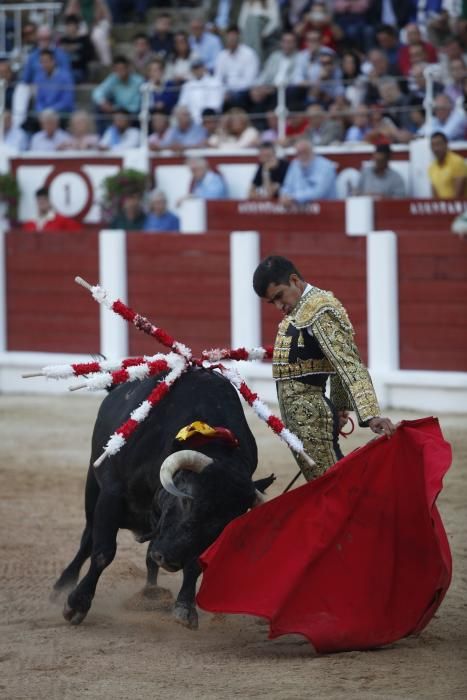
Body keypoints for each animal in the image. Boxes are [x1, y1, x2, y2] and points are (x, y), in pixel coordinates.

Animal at [51, 366, 274, 628]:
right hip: (92, 485)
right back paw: (62, 587)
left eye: (223, 524)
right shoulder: (112, 493)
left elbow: (195, 563)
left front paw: (184, 607)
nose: (169, 560)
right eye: (186, 499)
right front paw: (76, 604)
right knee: (87, 540)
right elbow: (103, 552)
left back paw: (151, 593)